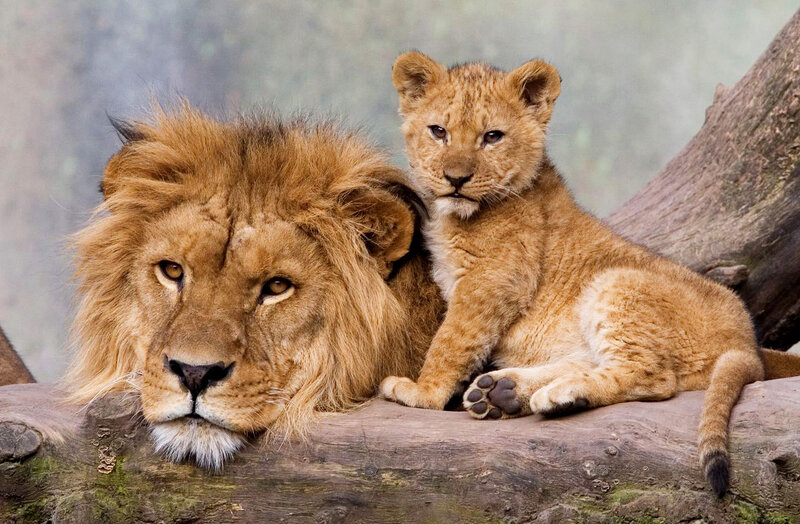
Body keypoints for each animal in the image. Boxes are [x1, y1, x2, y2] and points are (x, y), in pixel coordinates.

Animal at [379, 51, 800, 497]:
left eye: (492, 136)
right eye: (438, 131)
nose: (456, 179)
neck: (458, 215)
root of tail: (746, 343)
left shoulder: (493, 281)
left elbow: (451, 341)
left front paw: (423, 391)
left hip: (615, 282)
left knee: (651, 376)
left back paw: (560, 395)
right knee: (592, 362)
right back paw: (505, 393)